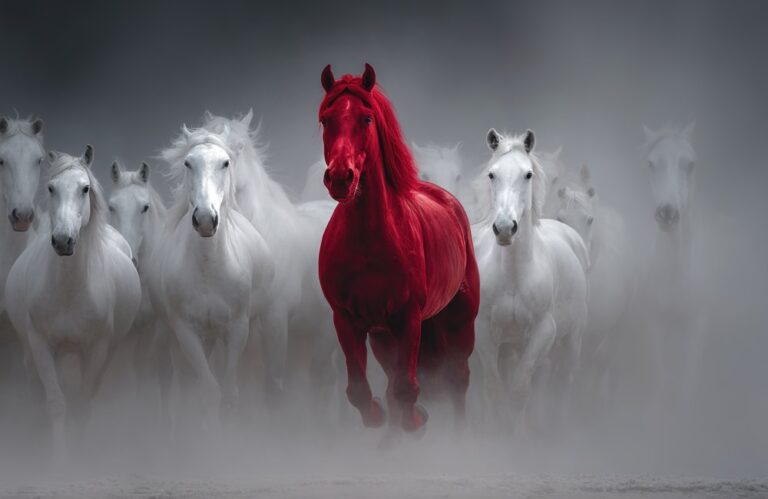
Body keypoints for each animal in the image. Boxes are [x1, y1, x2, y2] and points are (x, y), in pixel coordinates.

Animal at [5, 145, 141, 455]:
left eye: (84, 188)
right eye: (51, 188)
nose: (63, 240)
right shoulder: (40, 345)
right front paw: (58, 458)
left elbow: (81, 406)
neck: (68, 291)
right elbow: (56, 404)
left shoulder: (97, 348)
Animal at [151, 122, 274, 426]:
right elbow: (208, 392)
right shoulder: (186, 332)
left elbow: (229, 393)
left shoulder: (238, 328)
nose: (205, 219)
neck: (209, 271)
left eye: (225, 163)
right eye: (187, 163)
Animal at [317, 64, 479, 436]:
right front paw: (382, 416)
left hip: (459, 325)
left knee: (457, 378)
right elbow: (361, 390)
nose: (341, 178)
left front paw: (416, 419)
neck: (368, 241)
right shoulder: (346, 319)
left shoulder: (409, 317)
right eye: (325, 119)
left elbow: (407, 387)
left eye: (366, 118)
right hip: (382, 337)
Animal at [472, 128, 588, 433]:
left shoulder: (543, 332)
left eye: (527, 174)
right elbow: (494, 389)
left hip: (571, 341)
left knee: (565, 379)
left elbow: (519, 389)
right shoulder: (484, 333)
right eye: (492, 174)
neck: (514, 277)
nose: (504, 228)